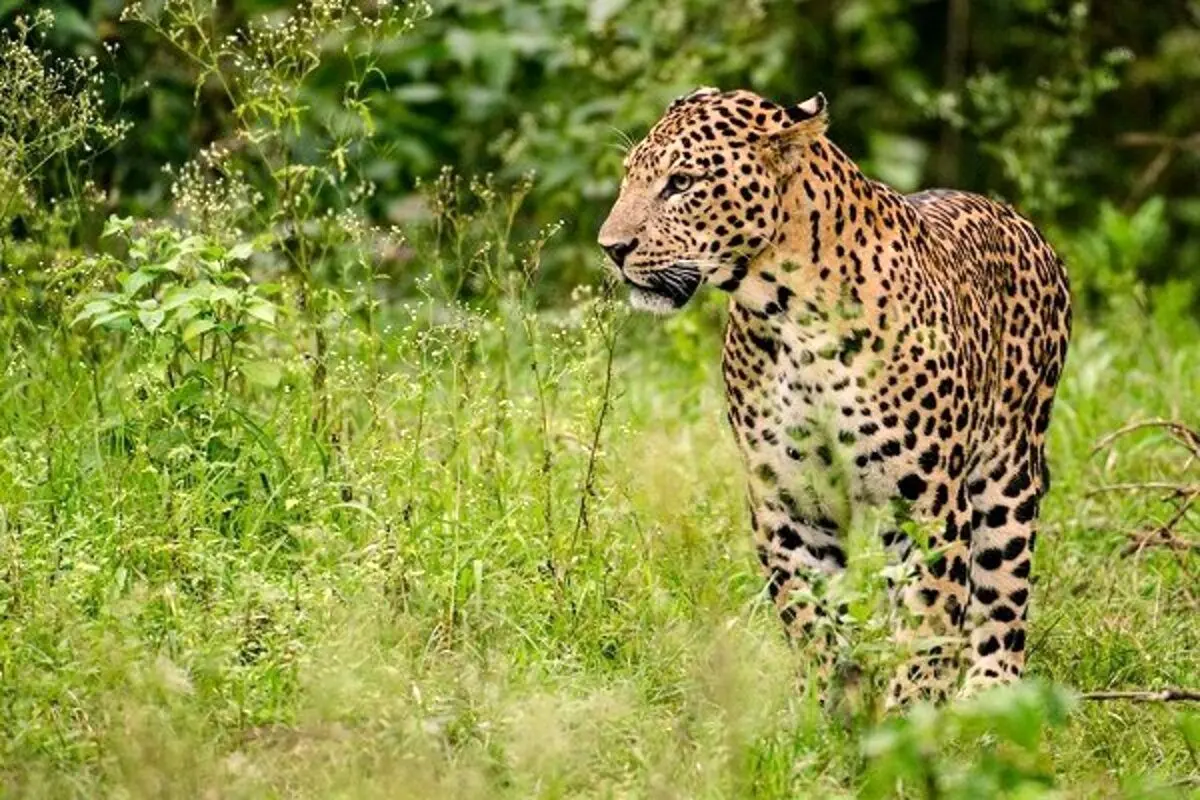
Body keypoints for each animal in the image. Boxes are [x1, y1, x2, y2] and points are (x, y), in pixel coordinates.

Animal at [595, 84, 1075, 705]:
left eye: (681, 183)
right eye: (629, 175)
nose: (611, 247)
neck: (789, 316)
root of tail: (1019, 219)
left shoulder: (927, 505)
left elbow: (927, 627)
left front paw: (906, 717)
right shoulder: (791, 501)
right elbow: (812, 618)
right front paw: (828, 707)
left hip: (1007, 475)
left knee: (1002, 602)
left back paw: (987, 698)